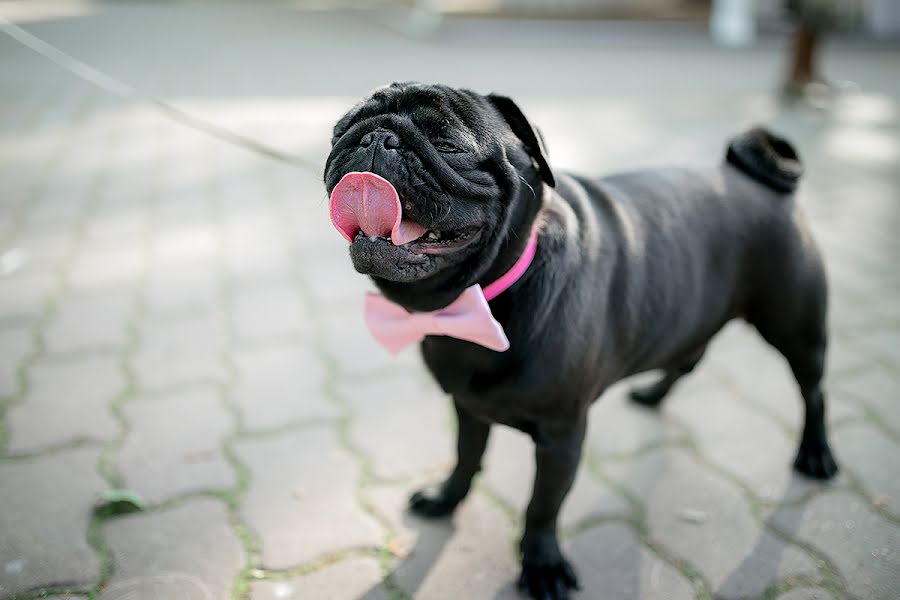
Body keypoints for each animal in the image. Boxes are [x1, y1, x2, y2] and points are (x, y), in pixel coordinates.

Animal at [322, 83, 836, 600]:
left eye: (448, 145)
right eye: (342, 130)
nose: (377, 137)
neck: (480, 299)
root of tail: (756, 180)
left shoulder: (561, 436)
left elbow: (542, 506)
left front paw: (541, 565)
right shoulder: (468, 407)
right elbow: (466, 457)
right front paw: (446, 500)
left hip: (796, 328)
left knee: (813, 391)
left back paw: (815, 454)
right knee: (688, 358)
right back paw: (653, 395)